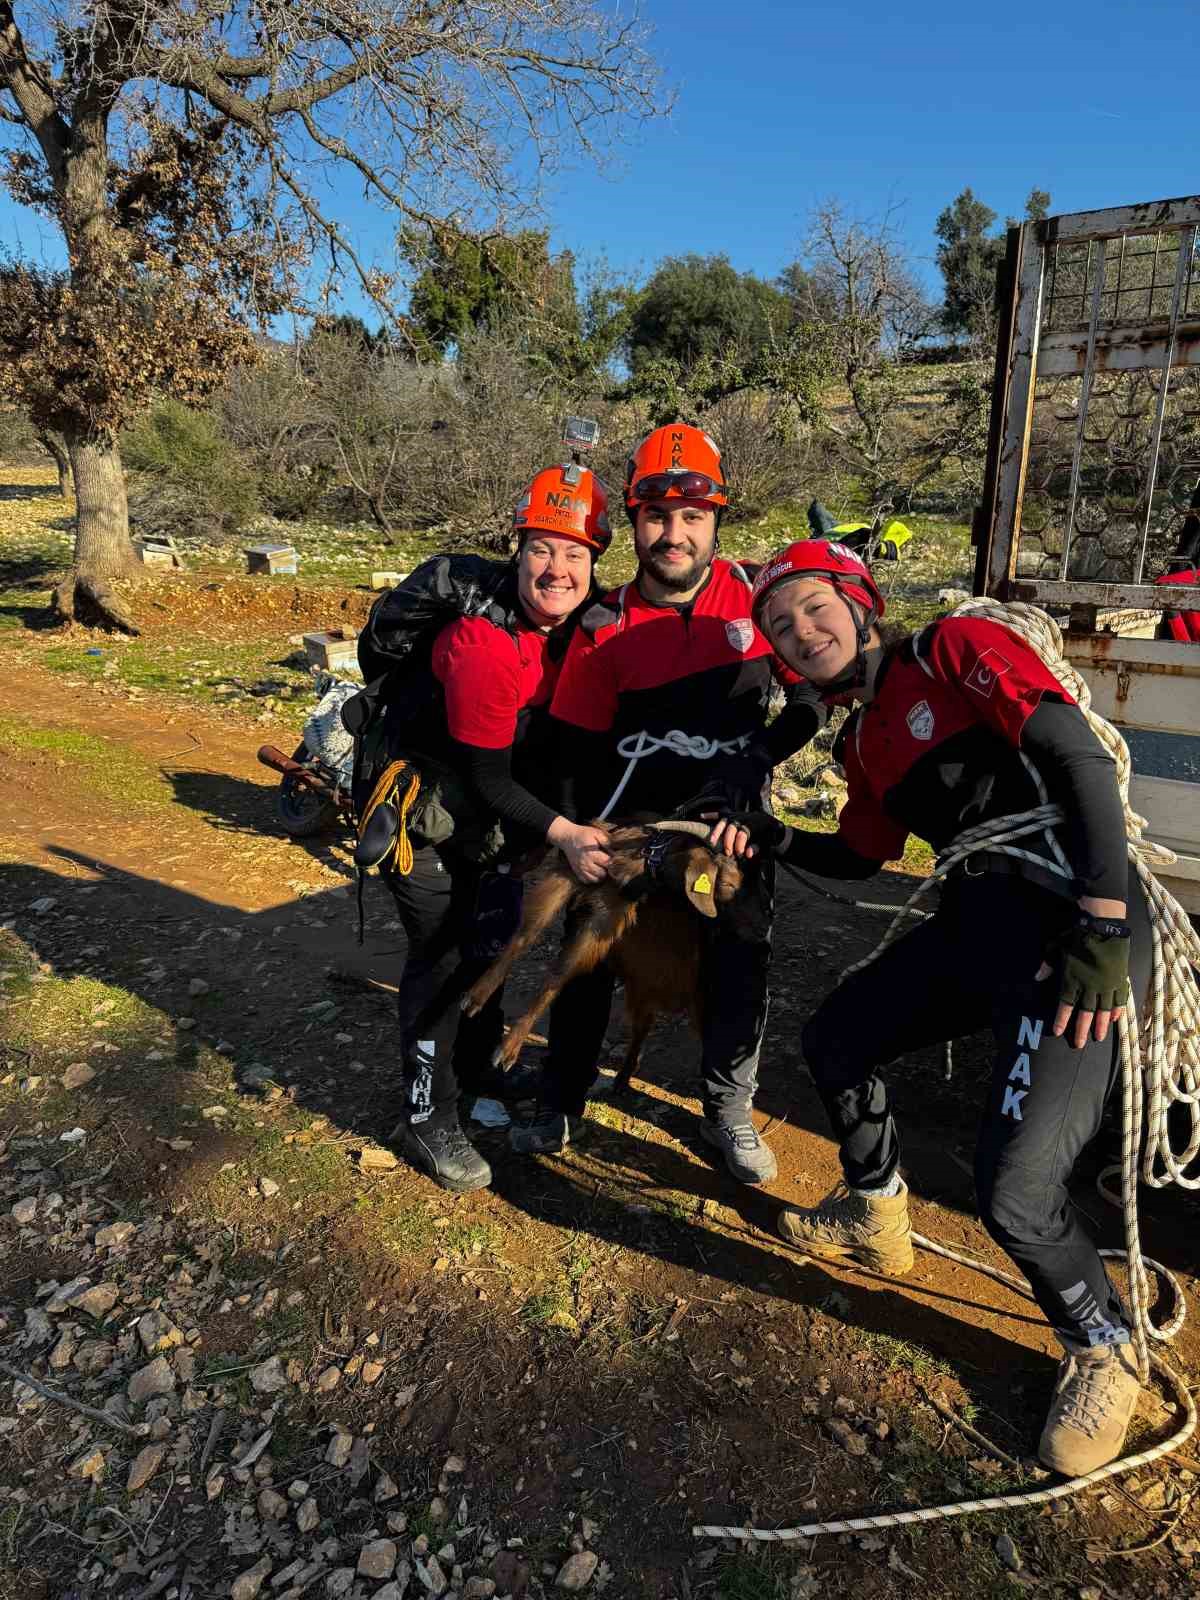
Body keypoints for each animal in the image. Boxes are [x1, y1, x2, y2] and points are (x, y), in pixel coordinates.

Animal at [460, 819, 761, 1094]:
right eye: (730, 883)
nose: (755, 929)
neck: (646, 857)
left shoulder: (606, 918)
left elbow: (561, 972)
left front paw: (507, 1050)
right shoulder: (569, 873)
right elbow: (525, 935)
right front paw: (475, 997)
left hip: (693, 996)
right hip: (643, 986)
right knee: (643, 1024)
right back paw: (622, 1078)